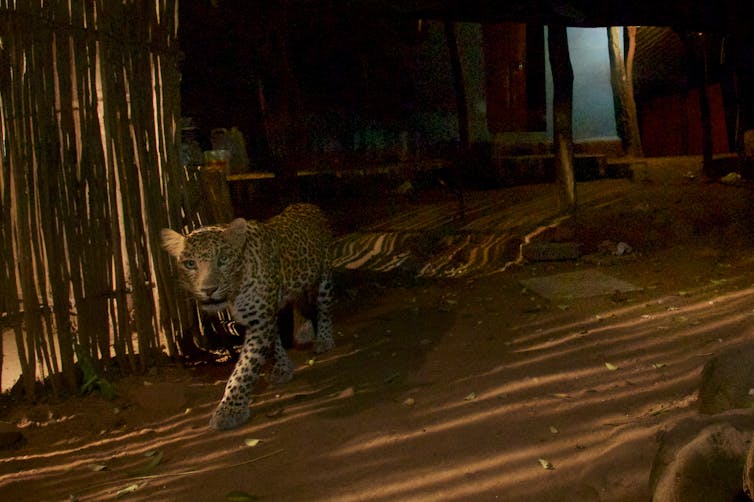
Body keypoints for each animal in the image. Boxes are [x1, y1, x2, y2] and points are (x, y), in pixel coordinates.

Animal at [160, 204, 334, 432]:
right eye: (190, 264)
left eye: (223, 260)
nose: (208, 290)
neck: (236, 288)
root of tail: (308, 206)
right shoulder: (260, 316)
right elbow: (273, 342)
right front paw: (283, 368)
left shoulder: (260, 321)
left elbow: (243, 370)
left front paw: (230, 411)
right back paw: (303, 331)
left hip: (325, 274)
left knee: (324, 306)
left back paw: (324, 339)